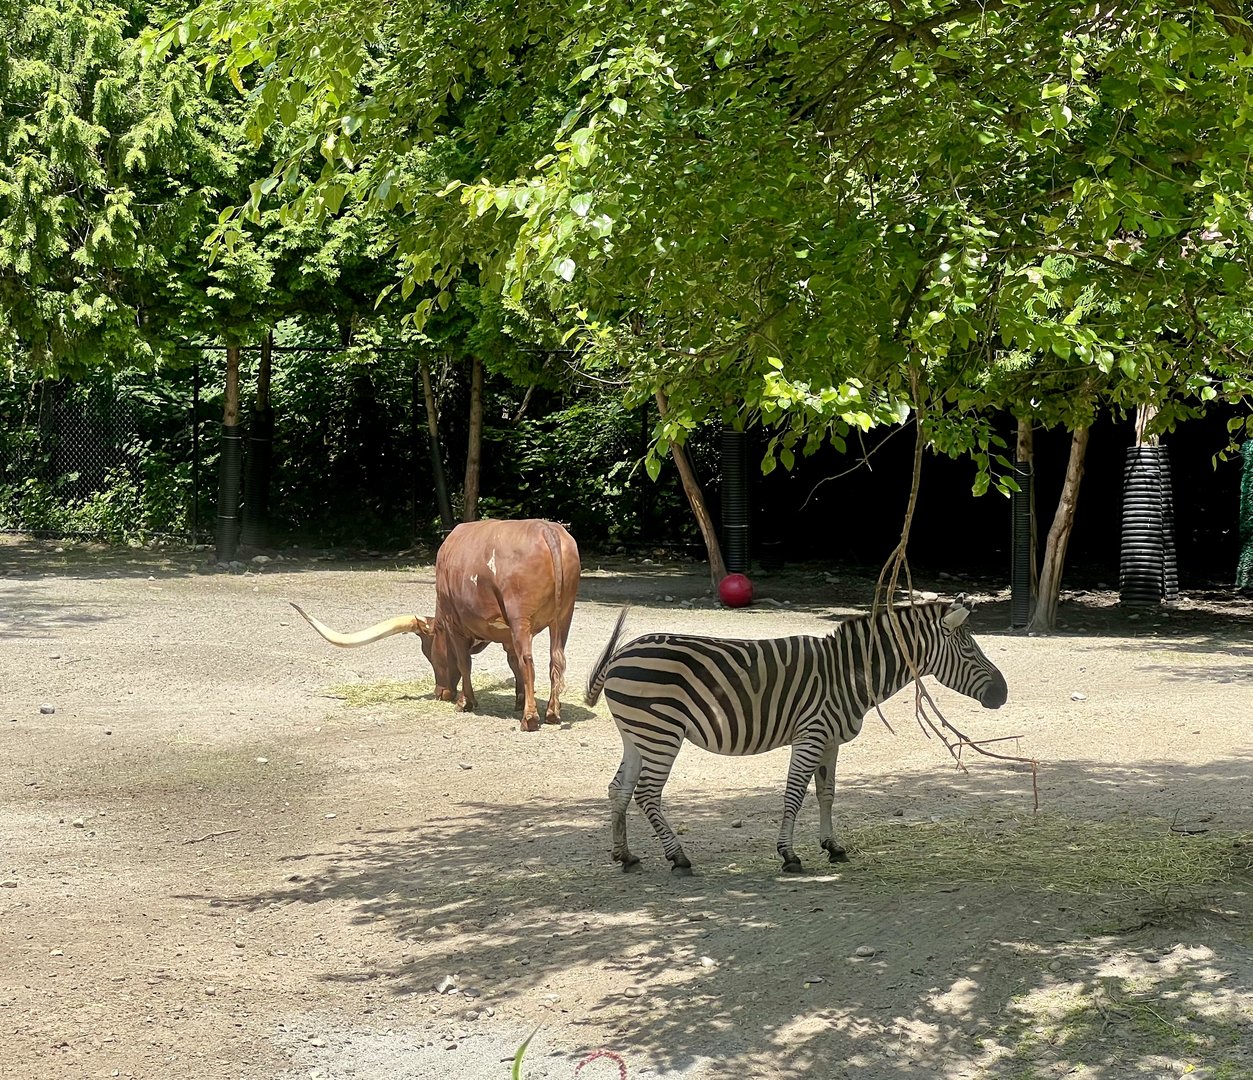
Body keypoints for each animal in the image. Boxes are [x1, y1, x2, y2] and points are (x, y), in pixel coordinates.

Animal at [292, 519, 580, 731]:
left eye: (428, 652)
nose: (440, 692)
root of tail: (547, 530)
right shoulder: (507, 634)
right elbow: (511, 663)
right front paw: (518, 700)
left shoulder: (455, 625)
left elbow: (465, 662)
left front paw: (465, 702)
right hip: (563, 617)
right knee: (555, 660)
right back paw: (552, 713)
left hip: (521, 617)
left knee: (528, 660)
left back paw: (529, 719)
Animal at [584, 598, 1008, 875]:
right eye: (969, 649)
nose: (1003, 694)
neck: (848, 674)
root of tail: (621, 654)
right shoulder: (812, 735)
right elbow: (794, 795)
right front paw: (788, 855)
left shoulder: (831, 741)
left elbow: (827, 793)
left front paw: (833, 846)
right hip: (662, 732)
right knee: (646, 793)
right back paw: (679, 858)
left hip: (638, 734)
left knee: (619, 789)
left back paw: (624, 856)